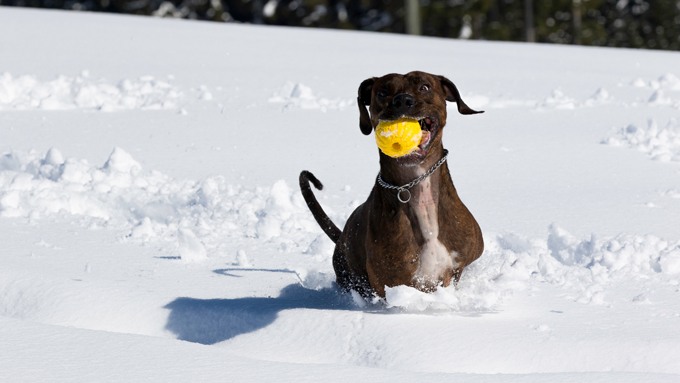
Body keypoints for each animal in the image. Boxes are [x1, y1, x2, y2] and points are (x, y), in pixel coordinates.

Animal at [302, 72, 484, 300]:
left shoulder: (456, 267)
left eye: (425, 87)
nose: (403, 100)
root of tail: (341, 238)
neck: (419, 186)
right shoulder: (387, 281)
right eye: (382, 92)